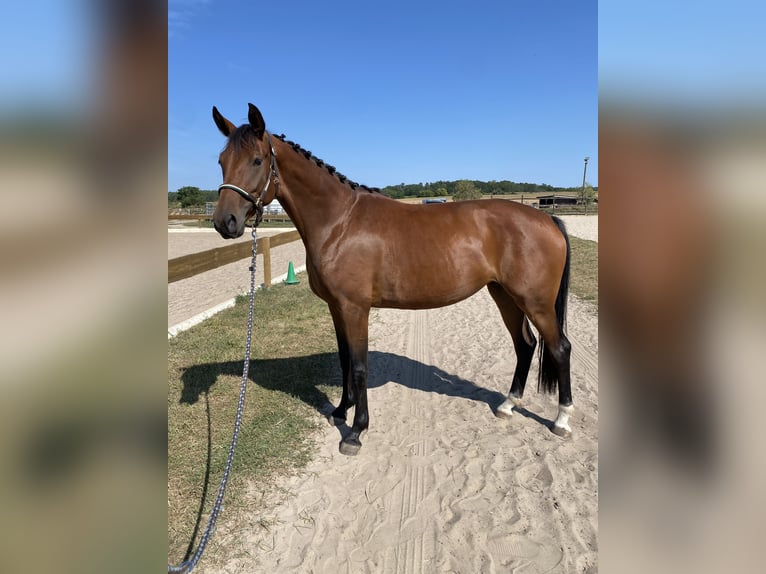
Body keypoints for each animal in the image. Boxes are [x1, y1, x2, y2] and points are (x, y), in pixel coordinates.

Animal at [213, 102, 572, 454]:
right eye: (221, 161)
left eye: (257, 160)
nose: (224, 222)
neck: (339, 222)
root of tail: (547, 219)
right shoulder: (336, 308)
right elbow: (344, 361)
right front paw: (340, 410)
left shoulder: (355, 308)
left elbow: (359, 366)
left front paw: (356, 431)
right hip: (505, 295)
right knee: (525, 344)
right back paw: (508, 405)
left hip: (536, 302)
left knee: (559, 348)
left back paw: (561, 420)